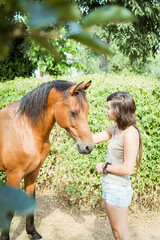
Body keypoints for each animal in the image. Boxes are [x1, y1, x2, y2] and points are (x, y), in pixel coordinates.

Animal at [0, 79, 94, 239]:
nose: (88, 147)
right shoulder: (13, 175)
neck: (24, 129)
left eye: (87, 110)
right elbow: (9, 211)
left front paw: (33, 233)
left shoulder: (33, 173)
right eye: (73, 112)